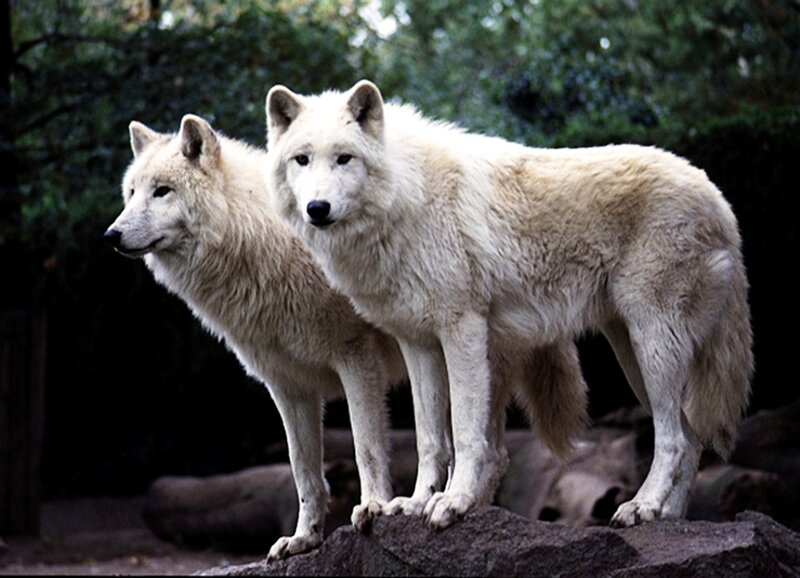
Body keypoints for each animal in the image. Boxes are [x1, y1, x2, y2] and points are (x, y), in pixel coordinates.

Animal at [103, 114, 406, 560]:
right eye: (131, 192)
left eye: (162, 191)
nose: (111, 235)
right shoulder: (288, 386)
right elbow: (302, 468)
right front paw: (304, 538)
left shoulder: (358, 360)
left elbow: (365, 446)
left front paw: (373, 509)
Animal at [264, 80, 753, 529]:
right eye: (301, 160)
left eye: (344, 158)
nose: (317, 207)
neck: (408, 196)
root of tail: (721, 202)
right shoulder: (419, 343)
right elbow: (429, 438)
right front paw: (417, 503)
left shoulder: (463, 330)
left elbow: (465, 433)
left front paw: (453, 502)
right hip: (633, 353)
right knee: (690, 437)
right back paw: (668, 517)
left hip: (652, 344)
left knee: (673, 439)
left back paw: (643, 506)